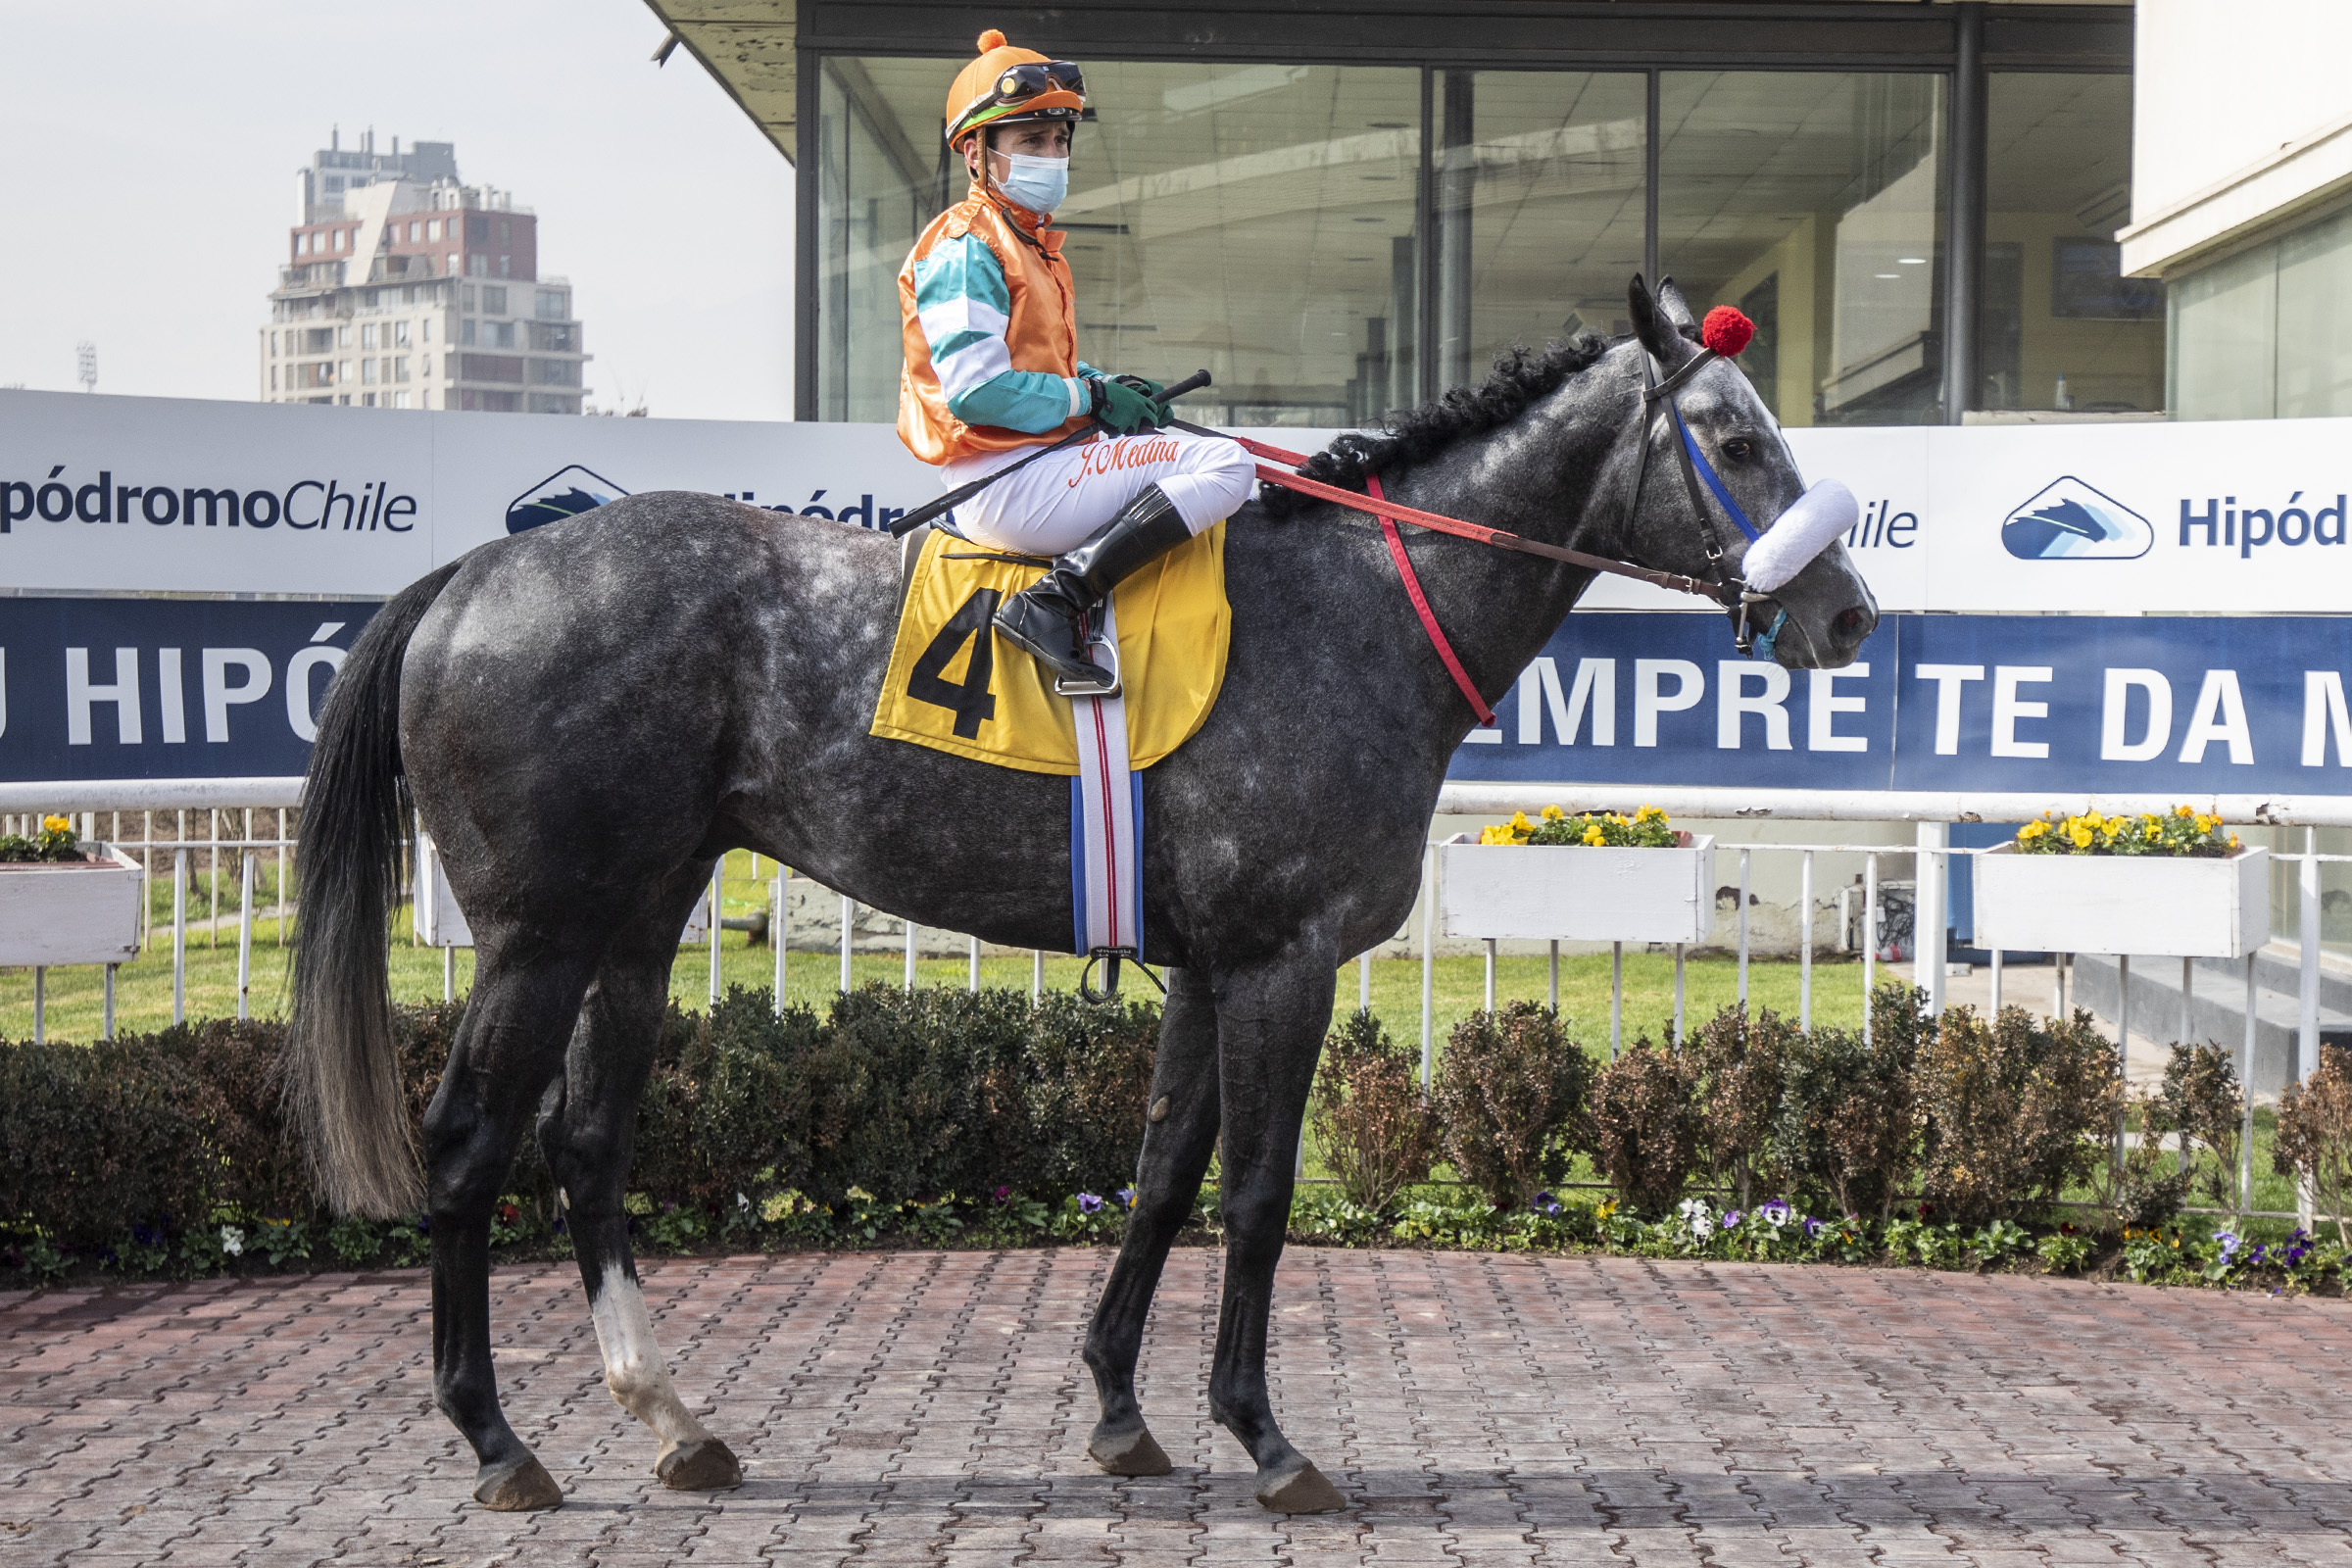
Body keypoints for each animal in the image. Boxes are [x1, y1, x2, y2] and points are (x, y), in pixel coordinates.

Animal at [284, 276, 1878, 1516]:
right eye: (1740, 438)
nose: (1848, 614)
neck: (1360, 607)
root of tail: (475, 571)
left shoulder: (1207, 963)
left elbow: (1166, 1171)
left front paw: (1122, 1410)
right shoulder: (1281, 960)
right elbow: (1256, 1194)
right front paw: (1265, 1436)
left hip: (639, 914)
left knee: (590, 1139)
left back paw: (674, 1421)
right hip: (538, 932)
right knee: (466, 1143)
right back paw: (498, 1442)